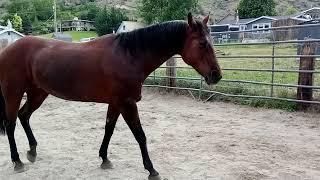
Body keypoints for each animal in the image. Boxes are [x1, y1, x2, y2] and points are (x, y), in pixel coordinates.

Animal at [0, 13, 221, 179]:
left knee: (24, 116)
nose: (216, 75)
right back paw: (17, 161)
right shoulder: (127, 104)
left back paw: (32, 151)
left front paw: (104, 159)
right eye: (202, 44)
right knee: (11, 124)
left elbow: (109, 129)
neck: (129, 55)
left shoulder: (116, 103)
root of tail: (7, 50)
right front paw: (151, 170)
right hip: (14, 93)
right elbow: (140, 135)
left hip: (38, 92)